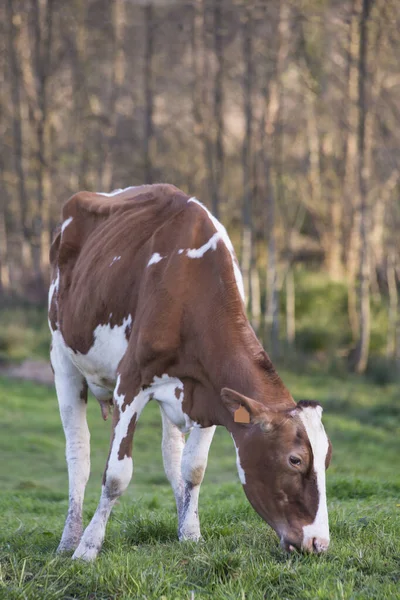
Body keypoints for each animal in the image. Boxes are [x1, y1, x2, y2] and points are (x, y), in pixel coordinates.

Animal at [49, 184, 332, 564]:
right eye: (295, 459)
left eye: (327, 459)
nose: (319, 542)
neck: (187, 287)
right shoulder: (131, 382)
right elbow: (117, 475)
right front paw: (88, 548)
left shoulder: (209, 391)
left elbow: (193, 468)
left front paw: (191, 534)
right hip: (62, 359)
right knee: (78, 454)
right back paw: (69, 539)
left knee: (172, 454)